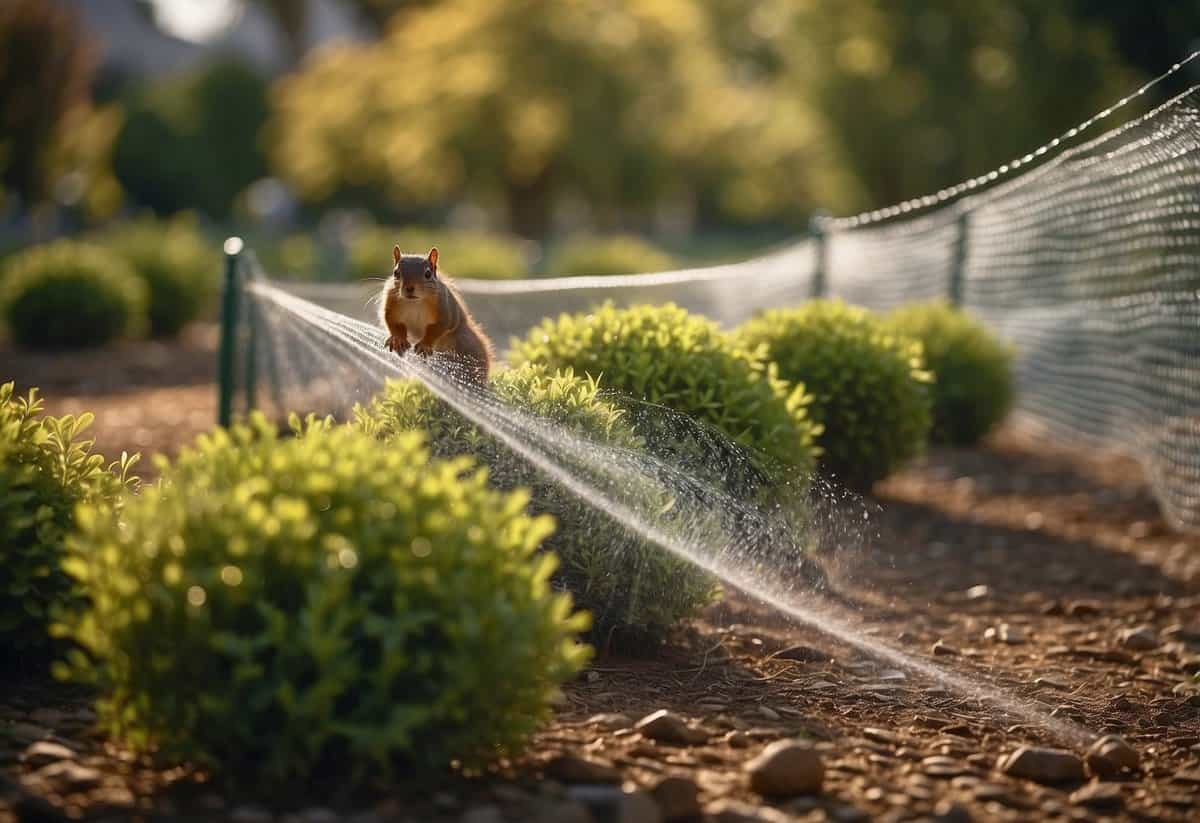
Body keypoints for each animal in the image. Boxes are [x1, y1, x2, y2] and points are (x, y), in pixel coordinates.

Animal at [379, 244, 492, 383]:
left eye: (428, 274)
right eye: (396, 273)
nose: (409, 288)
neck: (415, 302)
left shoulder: (444, 309)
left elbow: (438, 327)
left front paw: (424, 345)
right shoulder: (392, 302)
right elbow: (393, 322)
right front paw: (398, 340)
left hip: (464, 344)